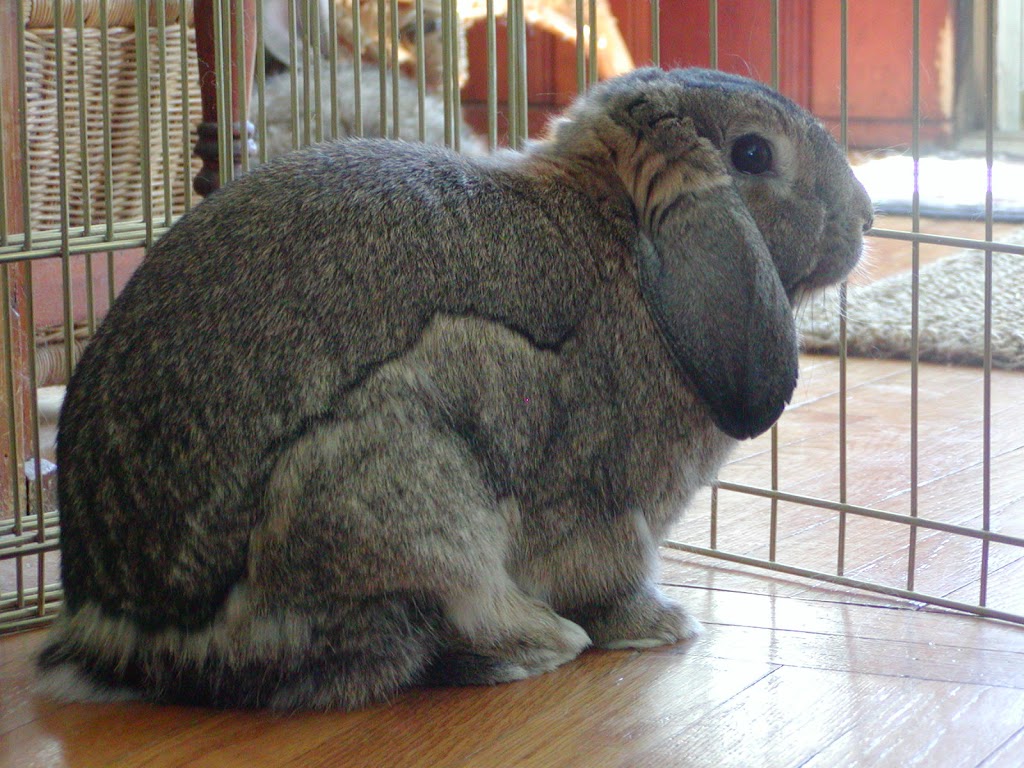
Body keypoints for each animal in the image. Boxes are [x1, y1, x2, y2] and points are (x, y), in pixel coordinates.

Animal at [36, 67, 873, 710]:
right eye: (753, 153)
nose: (865, 217)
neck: (622, 227)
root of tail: (129, 633)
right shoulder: (605, 507)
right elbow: (611, 575)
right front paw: (661, 625)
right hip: (404, 482)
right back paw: (540, 643)